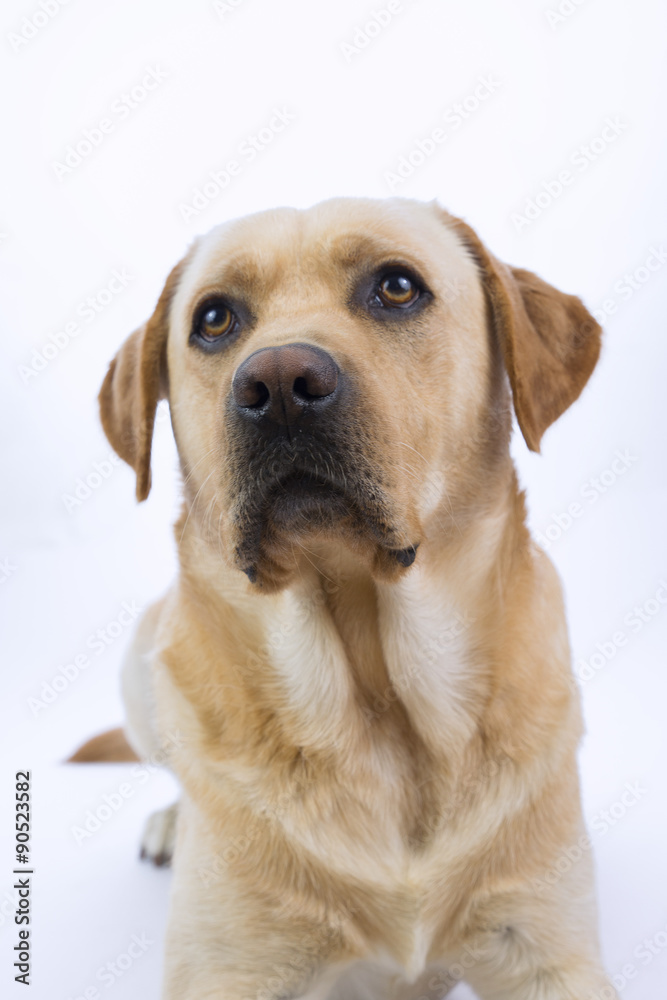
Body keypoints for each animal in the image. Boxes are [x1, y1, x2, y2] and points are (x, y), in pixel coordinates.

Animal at [85, 197, 620, 1000]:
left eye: (396, 287)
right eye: (214, 318)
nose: (278, 384)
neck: (382, 706)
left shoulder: (548, 951)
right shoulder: (228, 967)